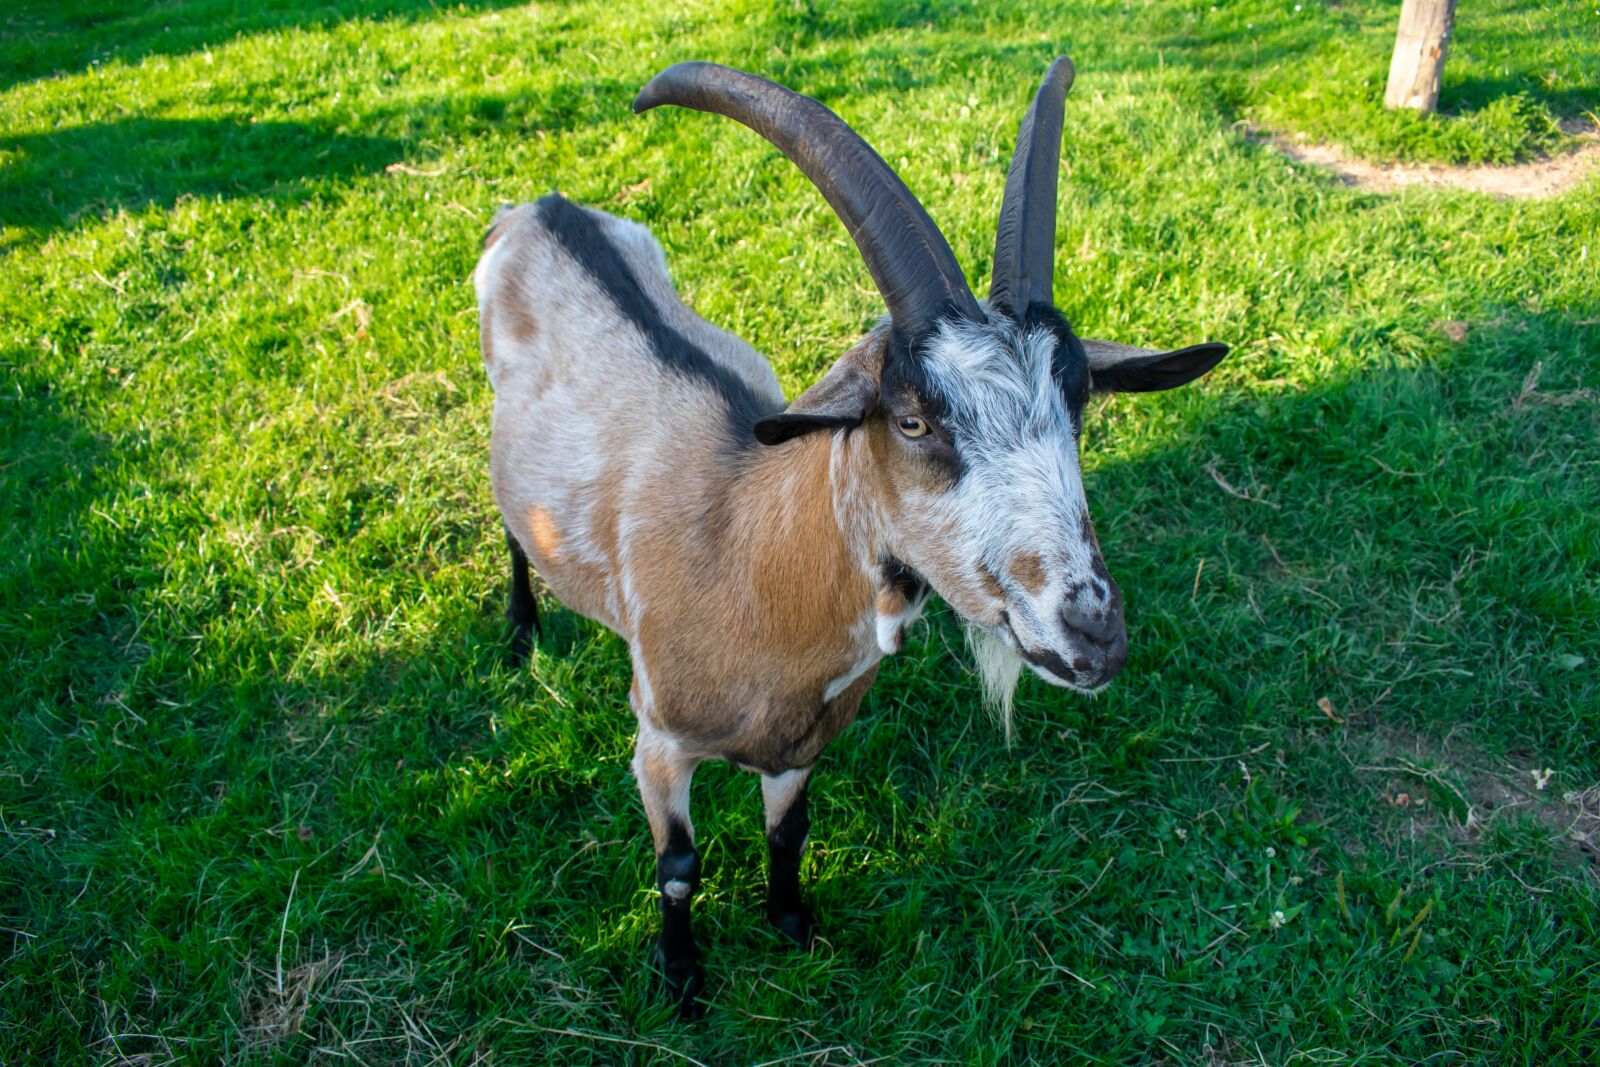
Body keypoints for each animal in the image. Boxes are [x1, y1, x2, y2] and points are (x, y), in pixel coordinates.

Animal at [475, 58, 1228, 1017]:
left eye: (1079, 404)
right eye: (911, 420)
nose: (1092, 631)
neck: (743, 551)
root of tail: (541, 206)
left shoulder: (803, 743)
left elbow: (789, 832)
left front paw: (793, 924)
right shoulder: (658, 739)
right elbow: (678, 866)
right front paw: (681, 980)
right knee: (507, 521)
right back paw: (521, 631)